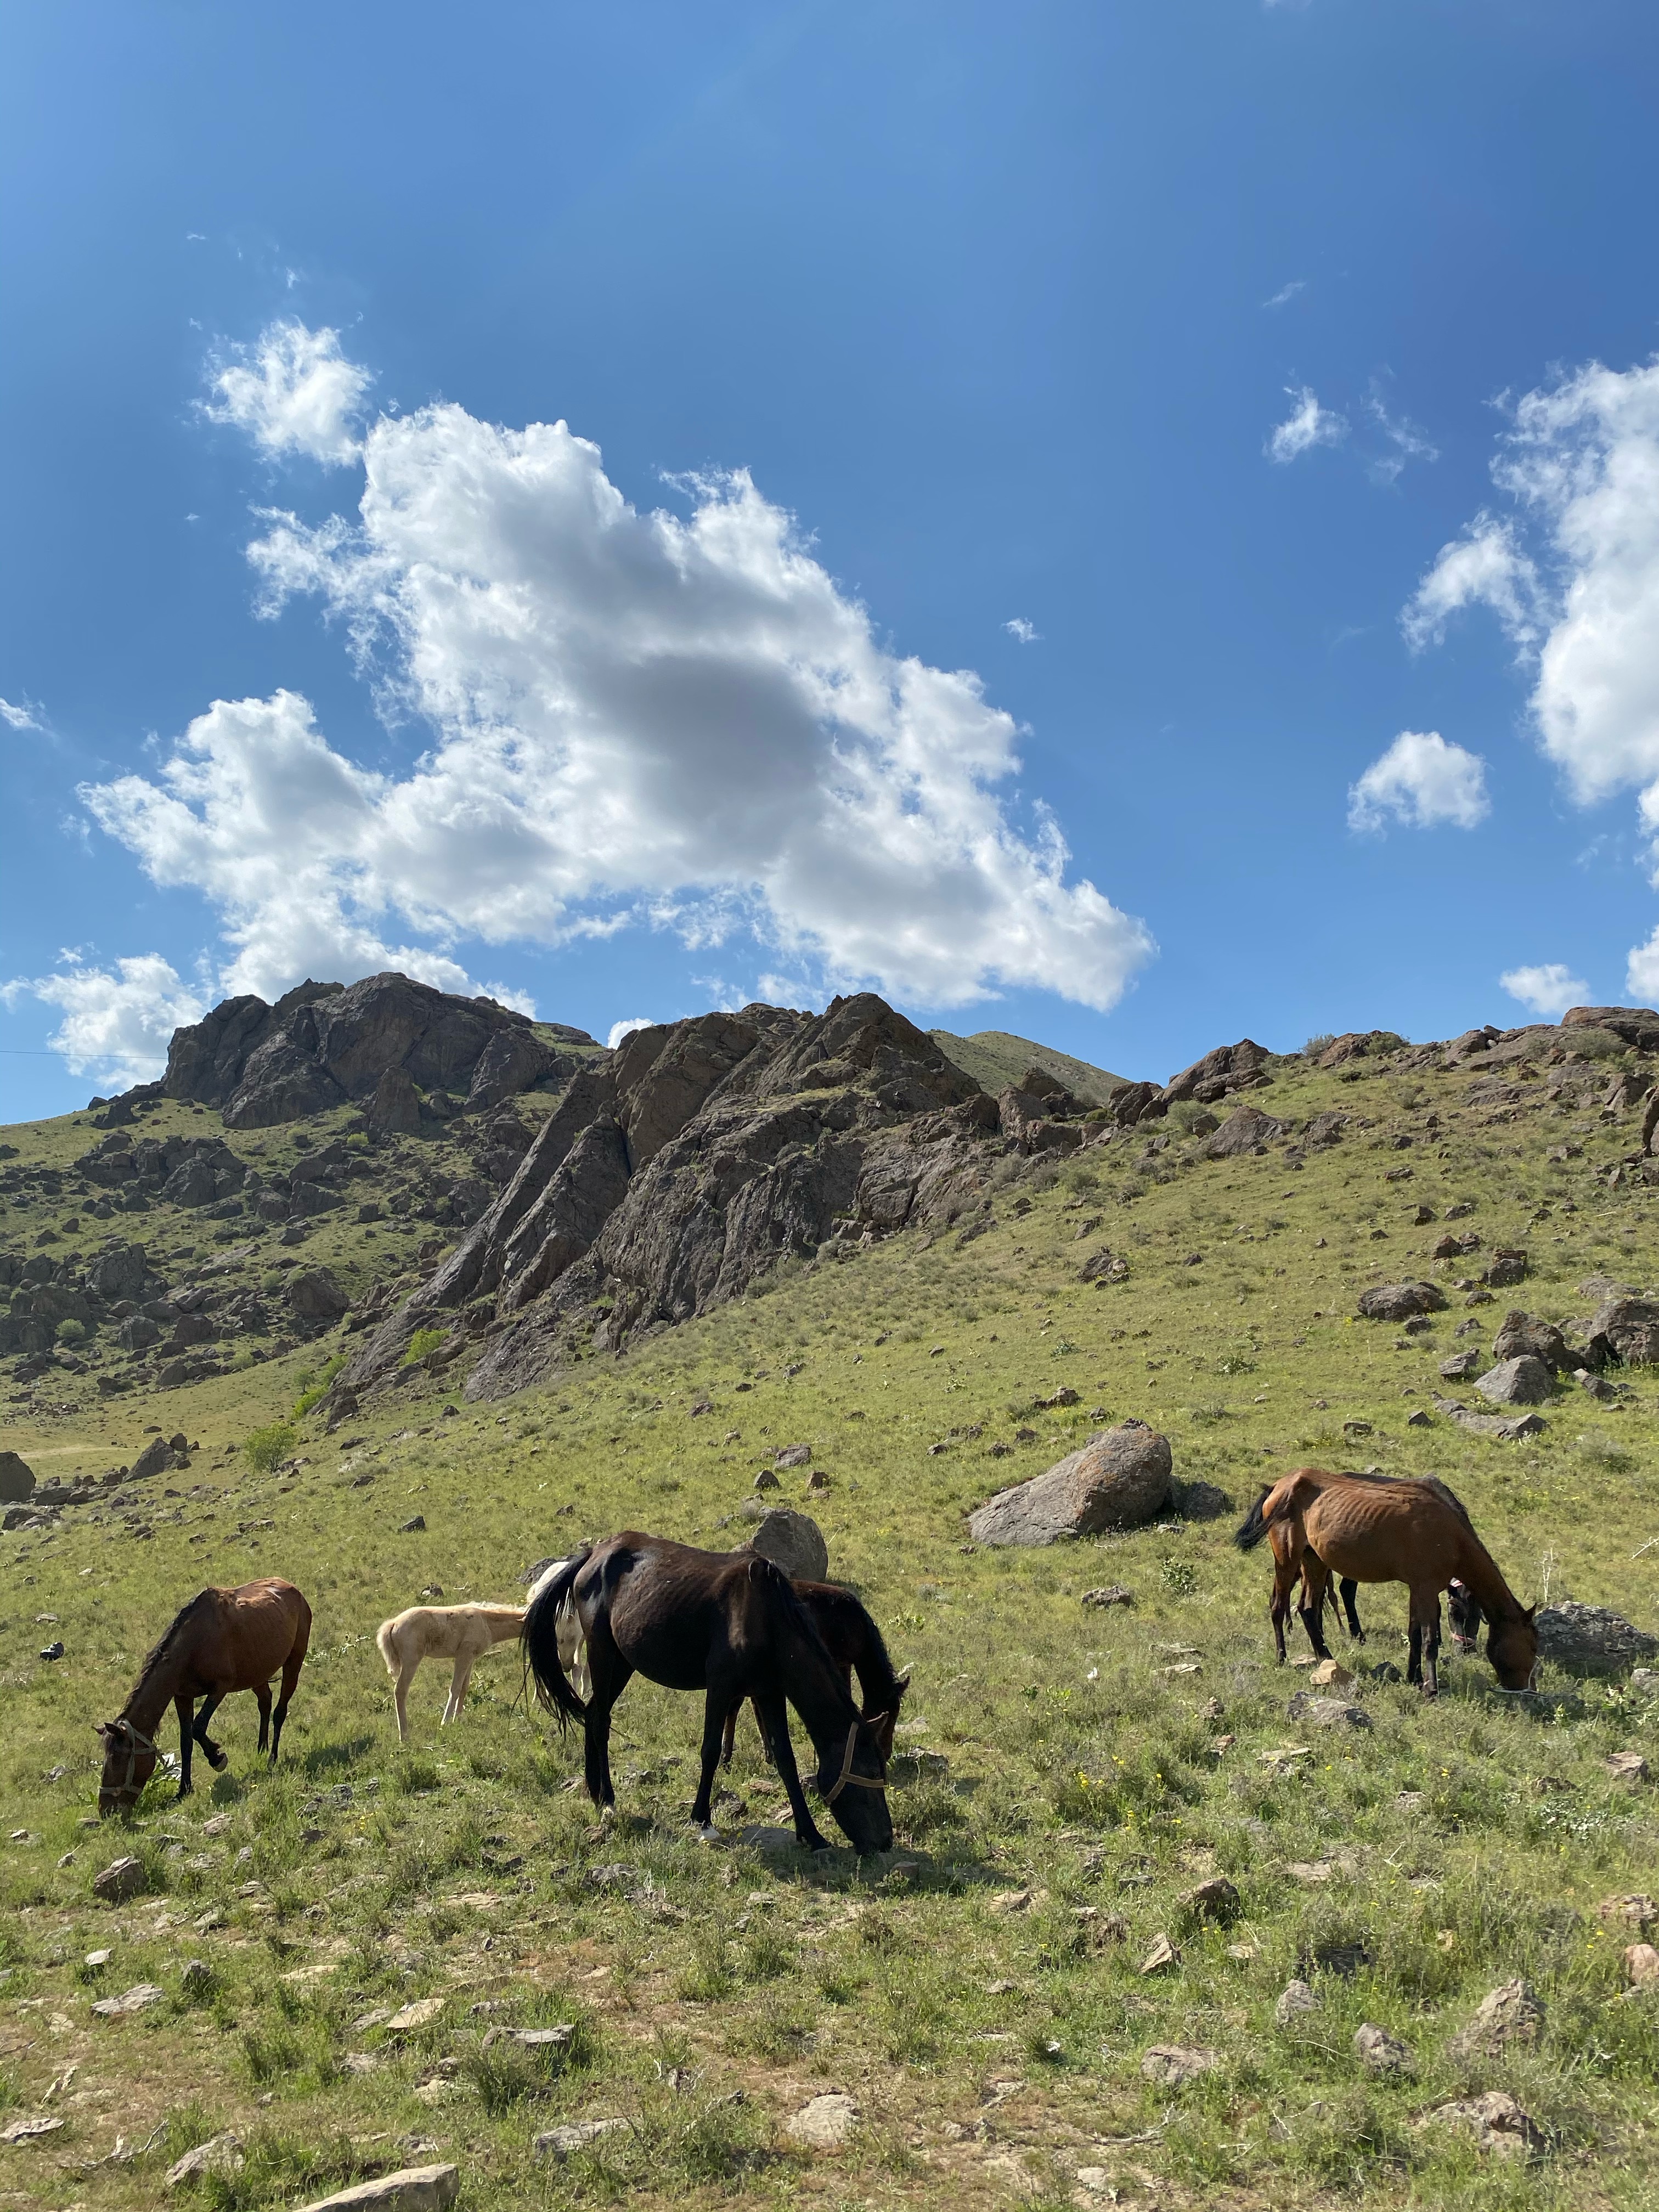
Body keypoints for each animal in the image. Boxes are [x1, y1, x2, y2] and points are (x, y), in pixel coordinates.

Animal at [96, 1579, 311, 1814]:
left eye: (120, 1760)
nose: (106, 1810)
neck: (193, 1644)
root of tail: (293, 1589)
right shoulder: (182, 1697)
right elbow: (186, 1741)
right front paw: (184, 1790)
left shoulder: (220, 1688)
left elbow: (198, 1727)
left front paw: (216, 1758)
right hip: (257, 1673)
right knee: (265, 1702)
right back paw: (261, 1750)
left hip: (294, 1662)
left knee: (279, 1712)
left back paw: (272, 1758)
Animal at [719, 1574, 909, 1769]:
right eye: (889, 1716)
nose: (887, 1754)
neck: (855, 1624)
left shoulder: (844, 1663)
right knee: (736, 1706)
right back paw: (728, 1758)